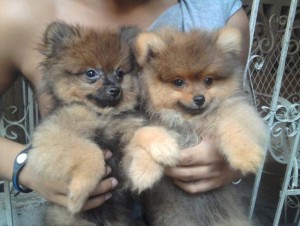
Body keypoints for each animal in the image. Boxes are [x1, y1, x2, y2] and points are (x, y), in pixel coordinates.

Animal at [26, 21, 178, 226]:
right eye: (91, 73)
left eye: (120, 73)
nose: (115, 89)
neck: (103, 115)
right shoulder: (52, 135)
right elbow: (91, 152)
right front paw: (80, 191)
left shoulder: (125, 135)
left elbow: (143, 132)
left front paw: (150, 165)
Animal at [124, 26, 268, 226]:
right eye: (178, 82)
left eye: (208, 81)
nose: (200, 98)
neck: (189, 121)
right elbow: (143, 135)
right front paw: (143, 171)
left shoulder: (237, 110)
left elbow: (234, 124)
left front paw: (245, 155)